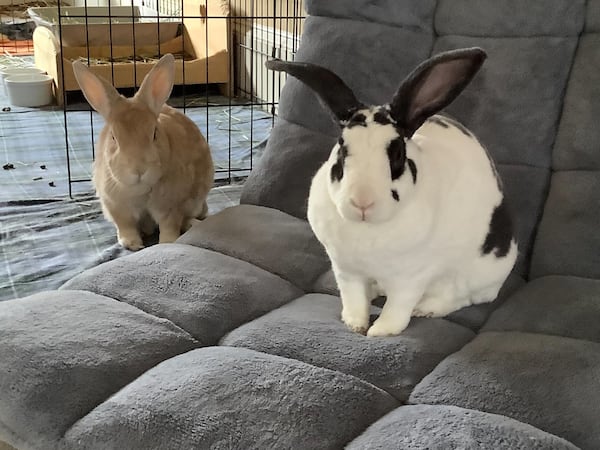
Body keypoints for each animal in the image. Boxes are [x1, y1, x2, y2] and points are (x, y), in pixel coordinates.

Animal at [72, 54, 214, 251]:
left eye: (154, 133)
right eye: (114, 137)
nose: (139, 170)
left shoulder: (171, 206)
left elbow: (169, 225)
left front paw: (167, 242)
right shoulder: (116, 206)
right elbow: (126, 226)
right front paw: (132, 244)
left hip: (196, 201)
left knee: (188, 218)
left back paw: (193, 224)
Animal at [268, 49, 516, 338]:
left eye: (397, 154)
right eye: (342, 148)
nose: (362, 202)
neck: (367, 230)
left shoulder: (411, 277)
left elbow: (398, 306)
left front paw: (380, 332)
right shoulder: (346, 270)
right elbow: (353, 297)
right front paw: (354, 324)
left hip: (477, 274)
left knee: (460, 297)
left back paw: (427, 309)